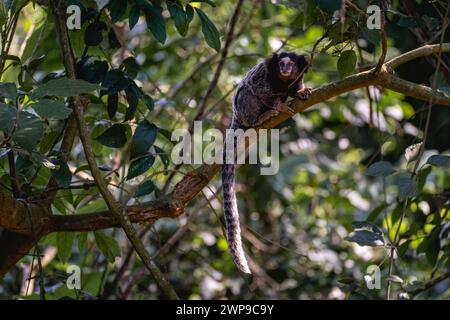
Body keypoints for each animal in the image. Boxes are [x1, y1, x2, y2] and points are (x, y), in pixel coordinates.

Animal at [221, 51, 310, 274]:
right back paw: (262, 117)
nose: (284, 69)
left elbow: (295, 89)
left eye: (291, 65)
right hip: (244, 110)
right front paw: (279, 106)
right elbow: (259, 90)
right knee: (249, 95)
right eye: (281, 64)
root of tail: (236, 116)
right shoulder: (263, 77)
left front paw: (301, 93)